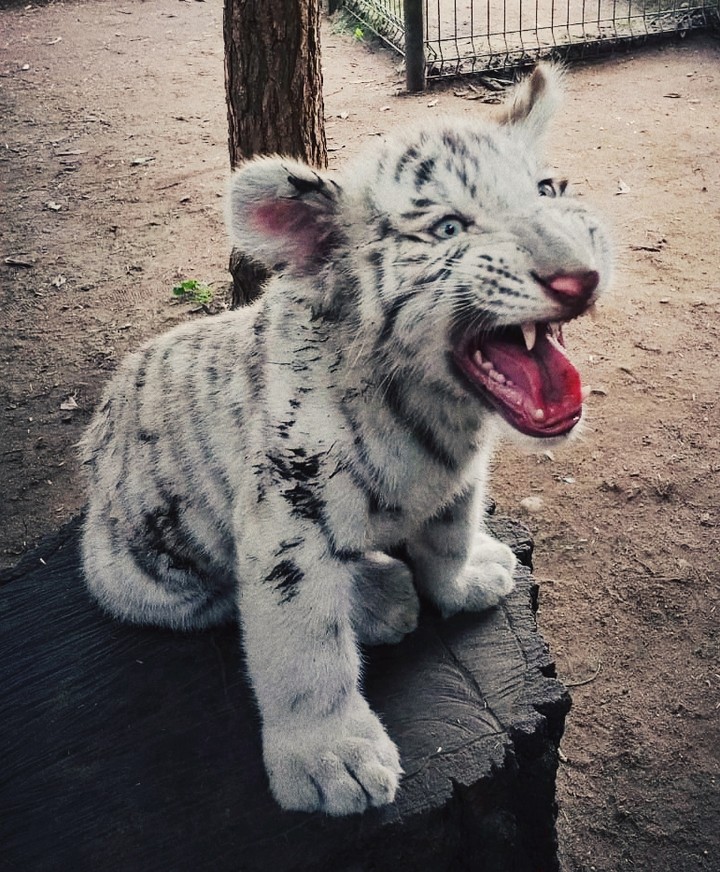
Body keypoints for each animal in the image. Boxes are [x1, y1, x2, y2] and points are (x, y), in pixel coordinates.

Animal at [80, 64, 612, 816]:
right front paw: (333, 760)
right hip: (143, 570)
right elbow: (303, 649)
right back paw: (381, 599)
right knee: (219, 597)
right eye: (449, 228)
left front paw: (467, 577)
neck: (438, 411)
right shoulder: (285, 515)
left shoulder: (460, 479)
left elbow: (448, 535)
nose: (579, 275)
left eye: (547, 191)